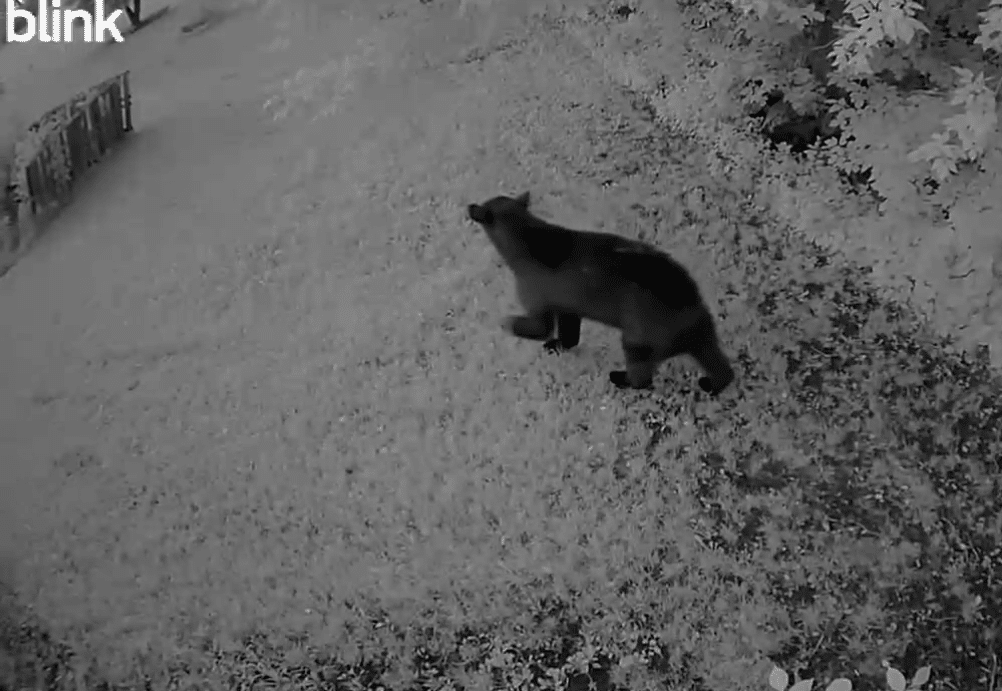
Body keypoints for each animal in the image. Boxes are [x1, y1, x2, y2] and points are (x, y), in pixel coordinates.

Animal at [466, 191, 734, 395]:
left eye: (483, 207)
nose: (469, 205)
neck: (534, 241)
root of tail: (690, 312)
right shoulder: (568, 307)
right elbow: (569, 337)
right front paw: (557, 345)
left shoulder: (538, 301)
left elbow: (540, 328)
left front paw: (507, 323)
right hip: (700, 337)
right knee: (722, 368)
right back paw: (711, 384)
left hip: (638, 340)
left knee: (642, 378)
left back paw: (620, 378)